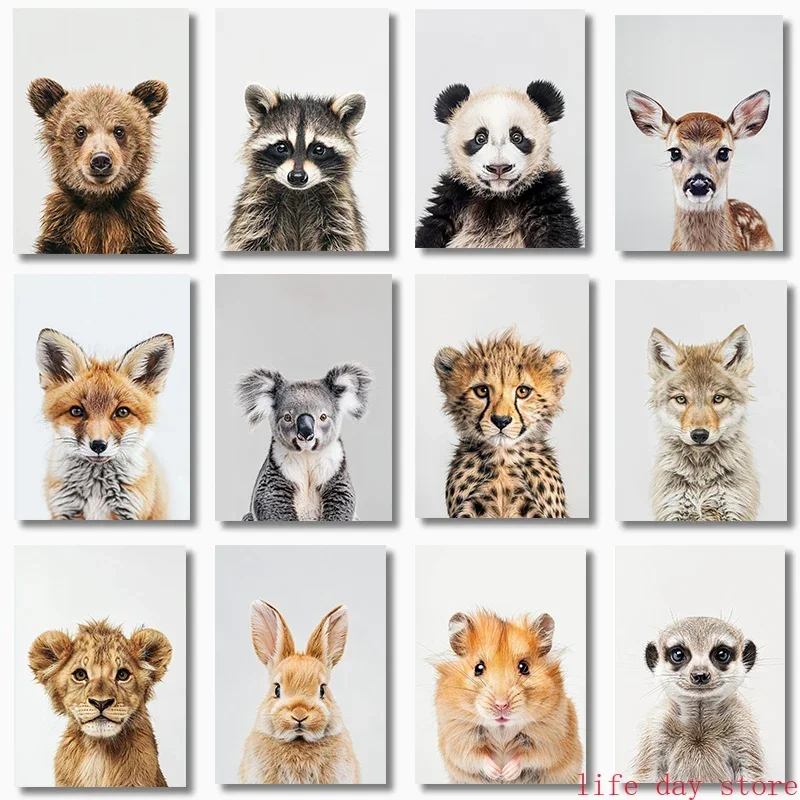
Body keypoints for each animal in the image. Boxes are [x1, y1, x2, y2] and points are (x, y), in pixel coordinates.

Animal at [28, 78, 176, 254]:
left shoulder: (140, 226)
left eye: (119, 130)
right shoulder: (63, 226)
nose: (100, 160)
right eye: (81, 130)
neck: (100, 201)